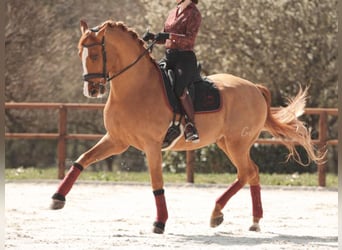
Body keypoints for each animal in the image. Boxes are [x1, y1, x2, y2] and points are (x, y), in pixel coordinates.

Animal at [49, 20, 322, 234]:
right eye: (80, 54)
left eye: (95, 55)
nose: (91, 90)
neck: (135, 89)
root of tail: (254, 88)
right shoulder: (116, 141)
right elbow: (81, 160)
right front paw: (57, 198)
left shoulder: (151, 146)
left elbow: (156, 184)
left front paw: (160, 223)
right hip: (226, 143)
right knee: (252, 172)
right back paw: (253, 221)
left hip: (237, 143)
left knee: (246, 172)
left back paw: (217, 213)